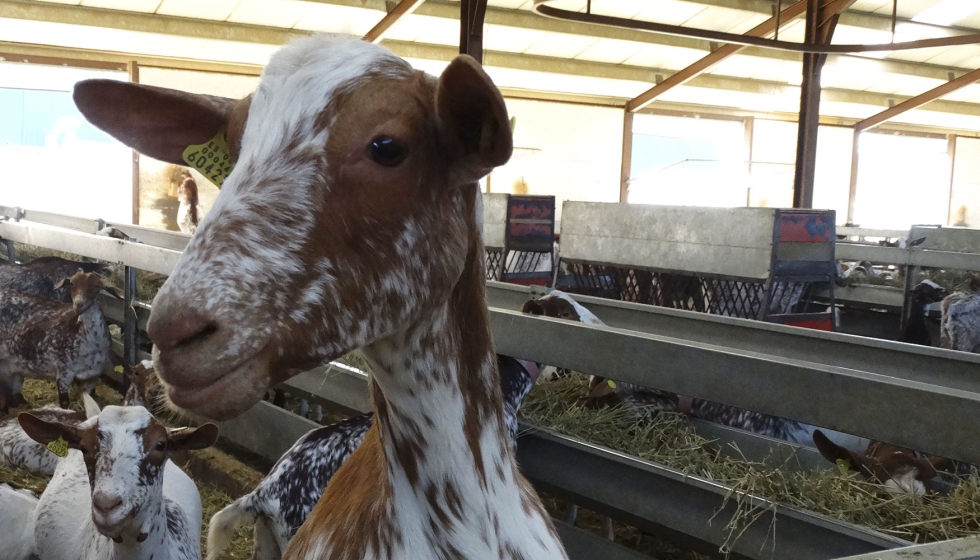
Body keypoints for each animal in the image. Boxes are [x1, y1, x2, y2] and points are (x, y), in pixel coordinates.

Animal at [0, 270, 121, 410]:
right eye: (72, 283)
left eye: (97, 286)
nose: (78, 305)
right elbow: (64, 403)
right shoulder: (64, 372)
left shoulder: (94, 376)